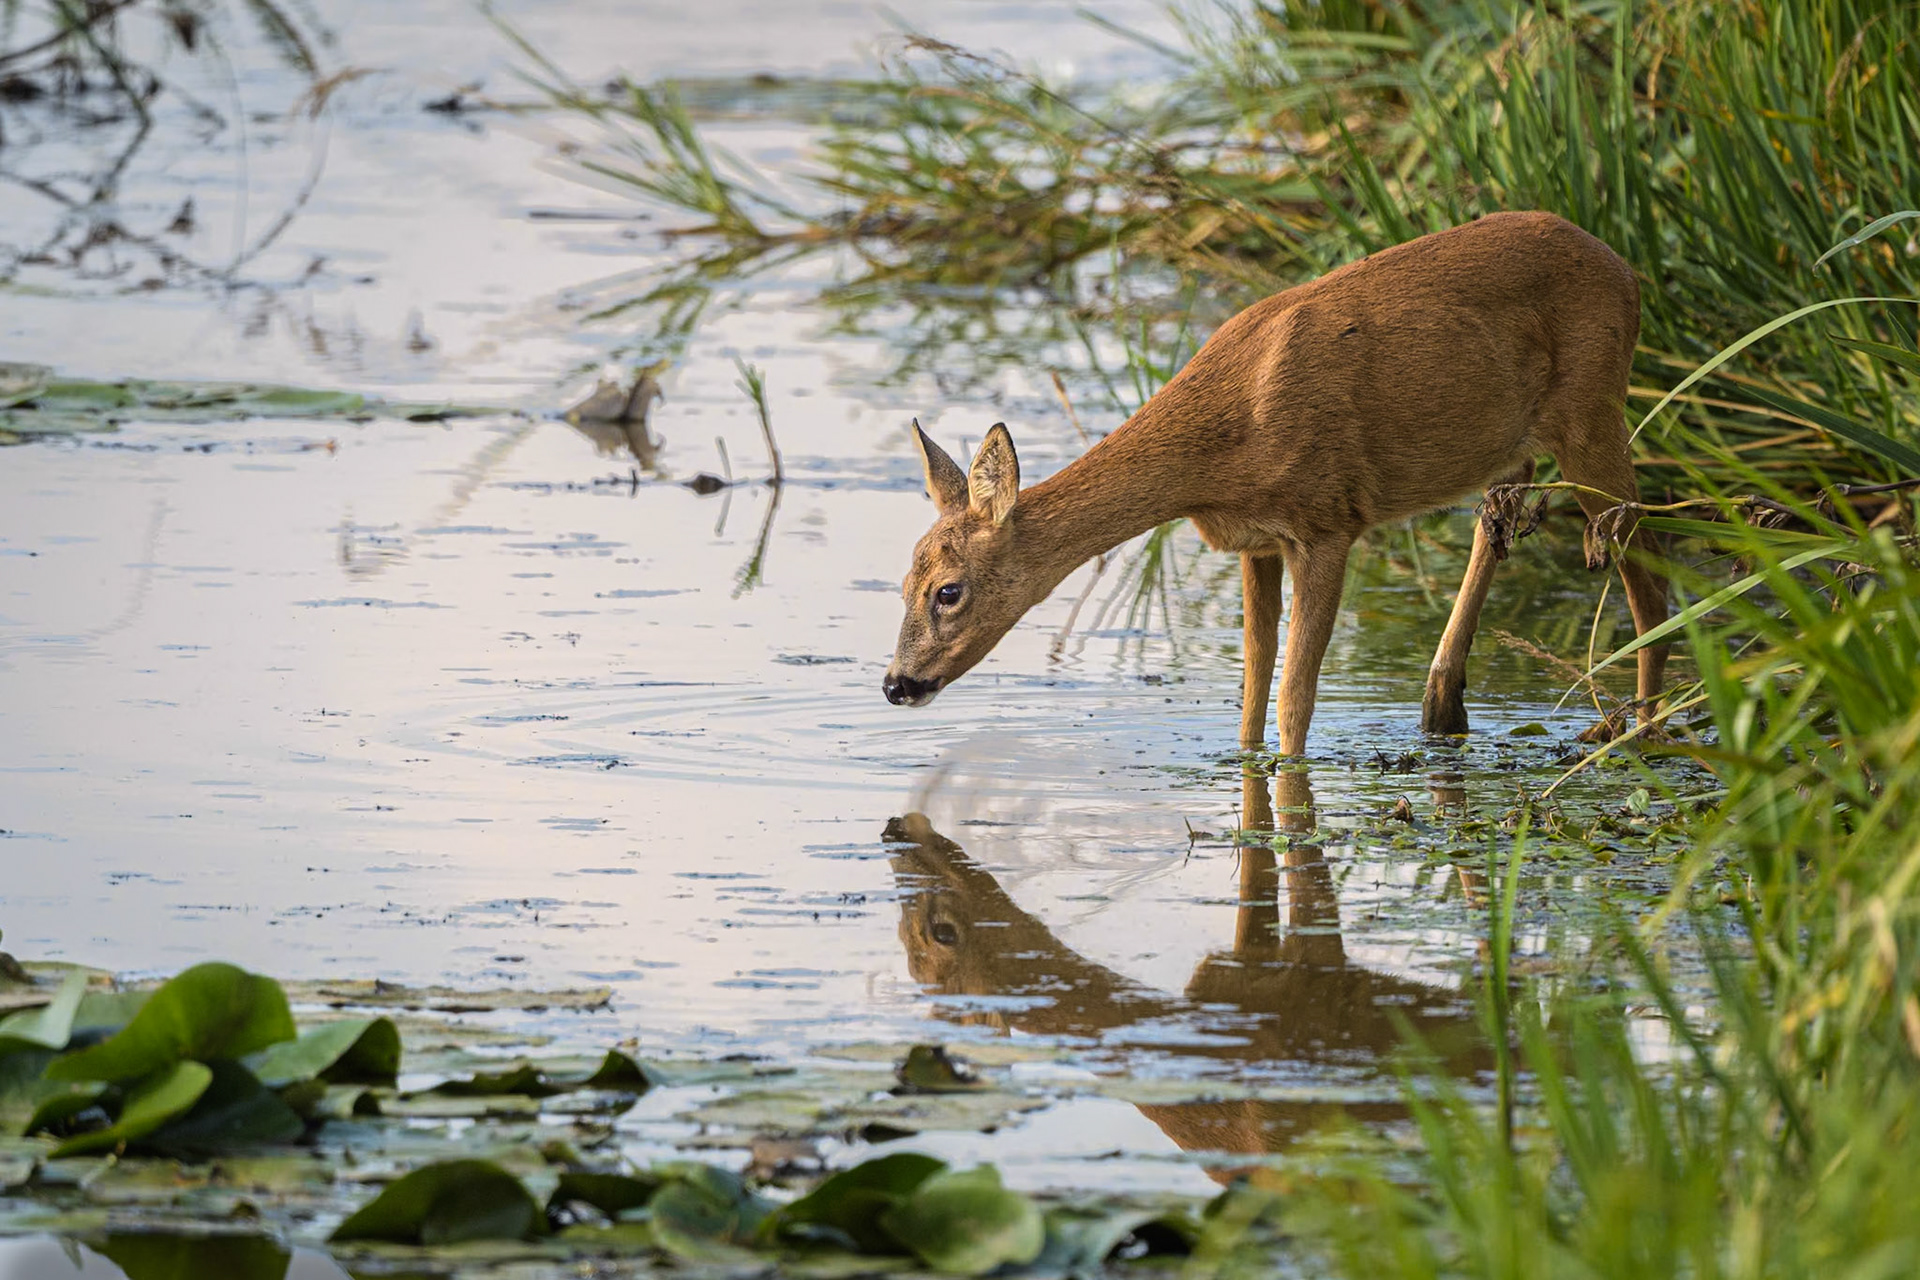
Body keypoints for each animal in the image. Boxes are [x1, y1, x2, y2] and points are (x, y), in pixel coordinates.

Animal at [882, 211, 1670, 756]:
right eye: (901, 583)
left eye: (948, 591)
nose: (895, 683)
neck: (1221, 447)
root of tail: (1630, 273)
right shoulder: (1254, 544)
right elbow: (1253, 692)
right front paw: (1247, 765)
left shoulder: (1327, 521)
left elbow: (1295, 697)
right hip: (1510, 448)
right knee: (1502, 523)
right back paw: (1444, 706)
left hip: (1592, 415)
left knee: (1648, 569)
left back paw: (1638, 729)